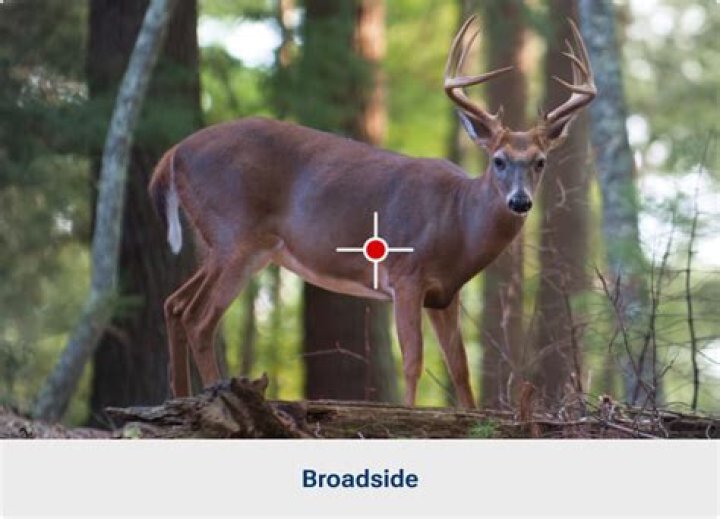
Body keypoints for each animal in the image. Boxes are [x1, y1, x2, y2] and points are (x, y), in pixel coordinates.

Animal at [148, 16, 595, 408]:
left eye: (540, 162)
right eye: (499, 160)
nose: (520, 201)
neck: (458, 220)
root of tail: (174, 153)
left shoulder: (445, 294)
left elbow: (460, 368)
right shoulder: (406, 273)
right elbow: (413, 361)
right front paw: (411, 413)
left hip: (231, 243)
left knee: (174, 304)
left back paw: (179, 397)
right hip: (234, 233)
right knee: (199, 318)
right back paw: (215, 395)